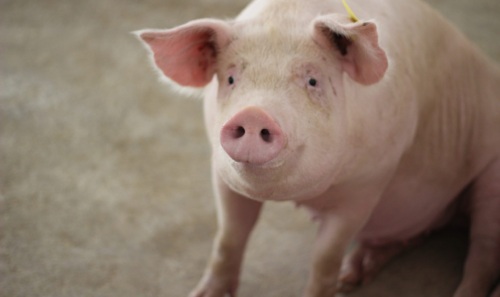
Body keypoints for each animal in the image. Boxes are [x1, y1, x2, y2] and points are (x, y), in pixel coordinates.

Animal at [134, 0, 500, 294]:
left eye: (312, 80)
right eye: (231, 78)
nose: (253, 113)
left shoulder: (367, 185)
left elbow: (325, 258)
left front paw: (331, 282)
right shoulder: (221, 173)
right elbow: (229, 237)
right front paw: (202, 294)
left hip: (491, 182)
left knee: (482, 254)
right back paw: (353, 276)